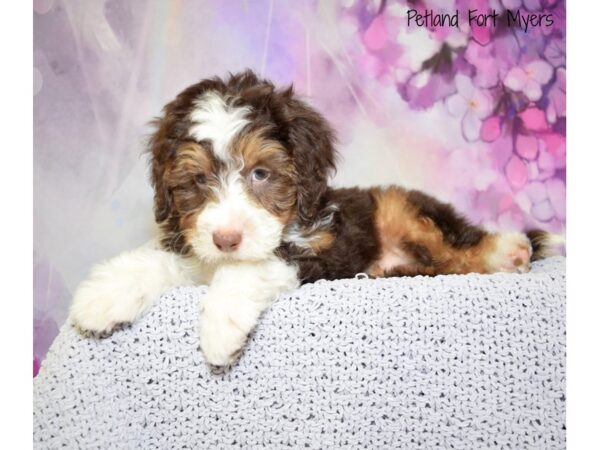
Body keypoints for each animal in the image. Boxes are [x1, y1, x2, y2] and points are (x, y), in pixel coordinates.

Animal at [68, 70, 560, 366]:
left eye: (261, 173)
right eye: (199, 179)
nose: (226, 239)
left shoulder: (325, 249)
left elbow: (259, 264)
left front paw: (221, 325)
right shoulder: (194, 248)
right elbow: (165, 259)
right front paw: (102, 294)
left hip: (399, 208)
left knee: (459, 245)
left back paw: (510, 251)